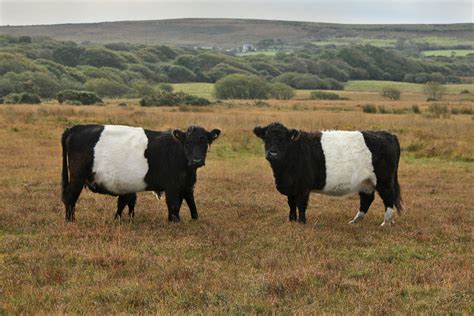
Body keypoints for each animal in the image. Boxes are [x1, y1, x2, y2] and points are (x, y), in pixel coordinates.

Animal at [60, 124, 220, 222]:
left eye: (205, 143)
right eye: (188, 143)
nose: (197, 160)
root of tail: (76, 127)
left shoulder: (186, 185)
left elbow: (190, 203)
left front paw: (192, 219)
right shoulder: (172, 186)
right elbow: (174, 205)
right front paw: (174, 222)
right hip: (77, 177)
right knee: (70, 197)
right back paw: (70, 221)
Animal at [254, 122, 406, 226]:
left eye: (283, 139)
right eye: (266, 138)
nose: (273, 154)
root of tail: (388, 134)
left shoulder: (303, 187)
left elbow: (301, 205)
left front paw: (302, 222)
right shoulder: (291, 188)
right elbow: (291, 204)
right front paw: (291, 220)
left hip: (384, 180)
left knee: (388, 197)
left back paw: (386, 223)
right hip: (366, 182)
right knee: (367, 199)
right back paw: (355, 221)